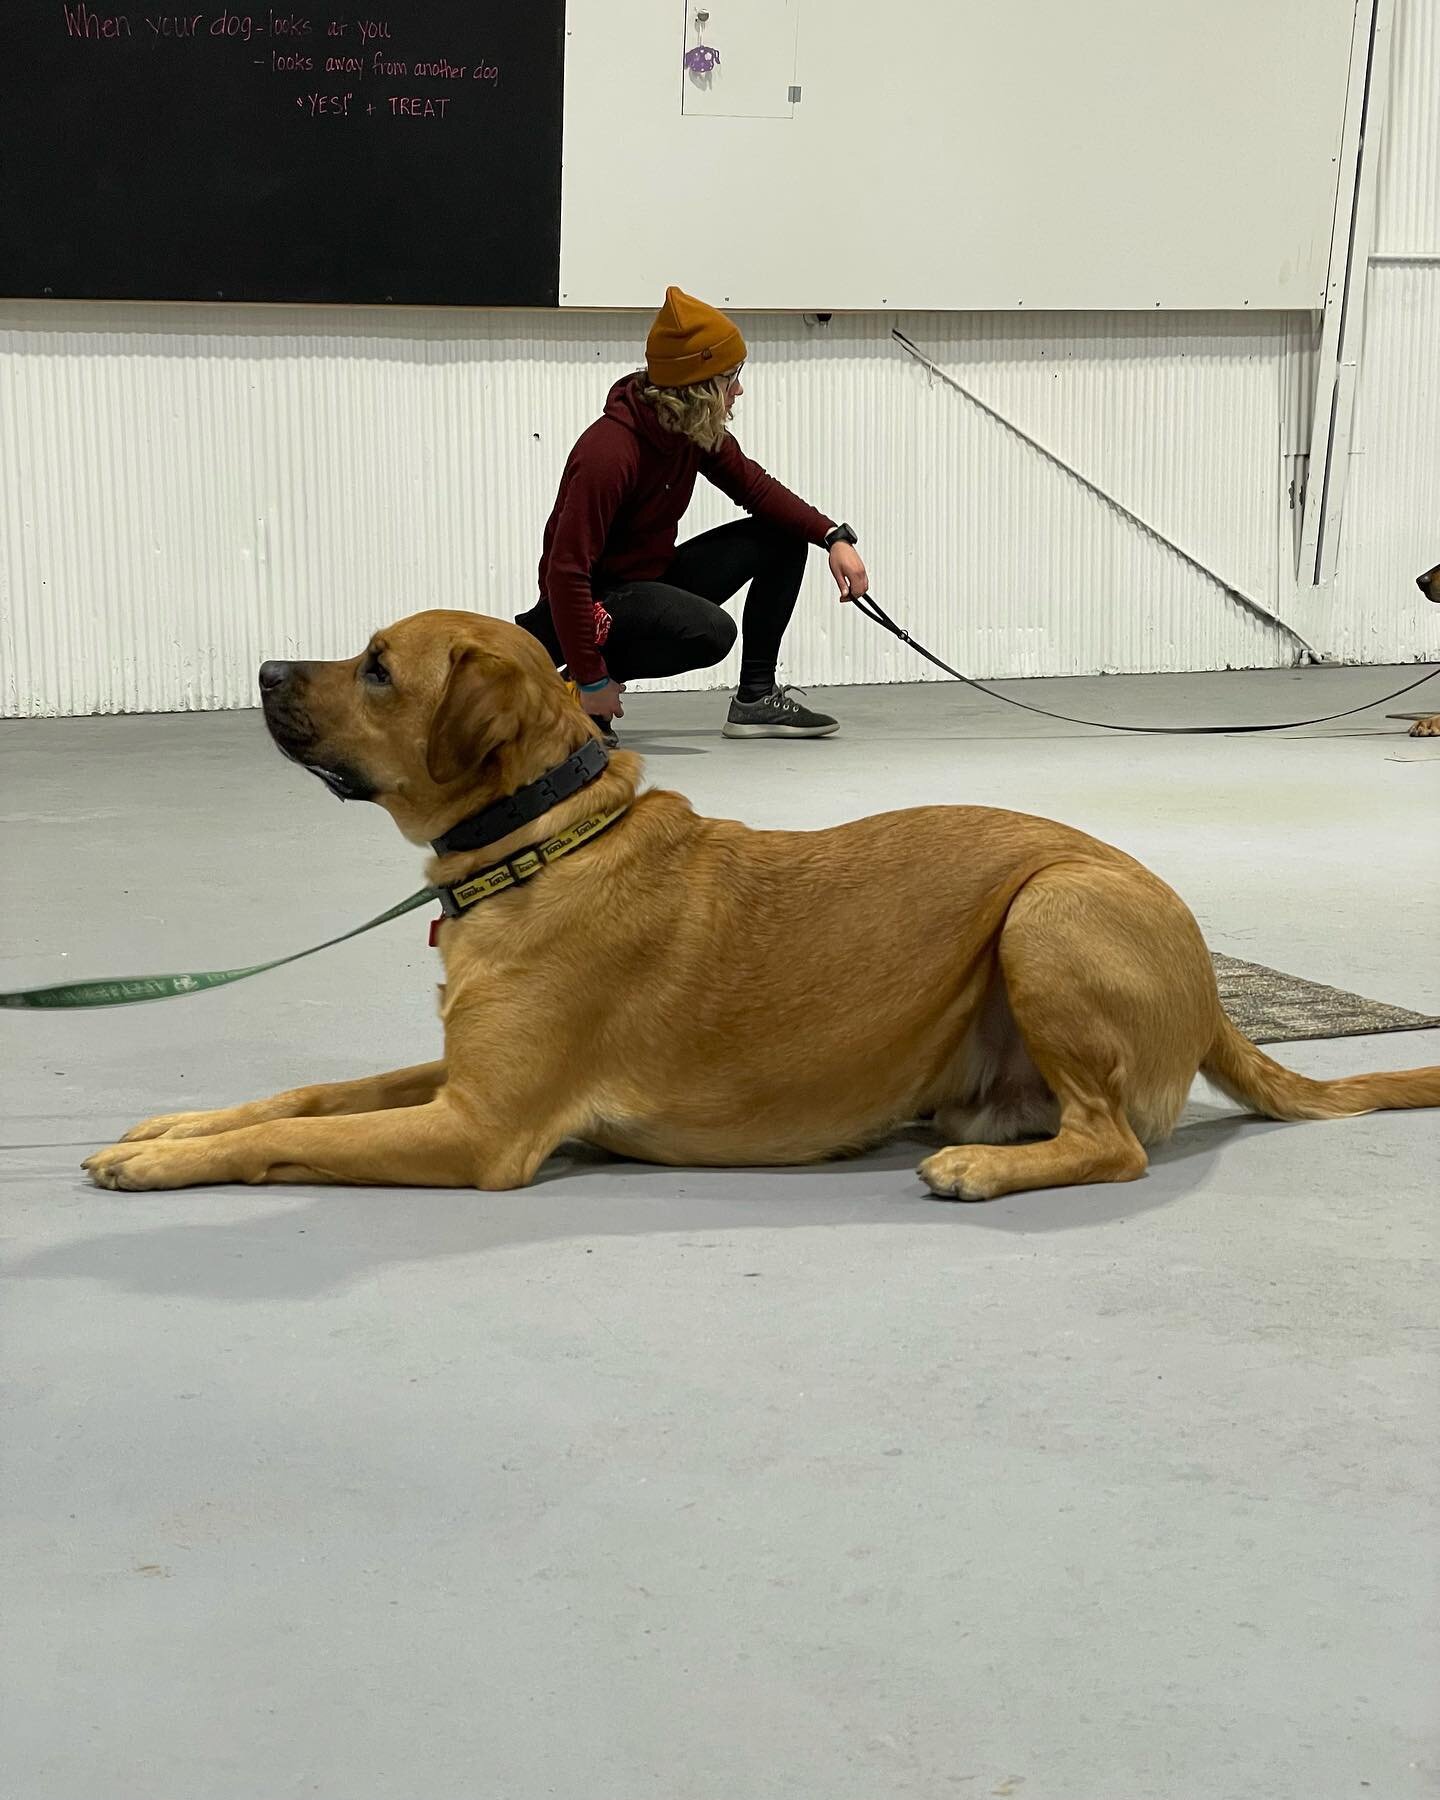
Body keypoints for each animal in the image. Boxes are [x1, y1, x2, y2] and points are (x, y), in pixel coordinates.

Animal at [84, 612, 1432, 1202]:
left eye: (375, 668)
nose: (264, 668)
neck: (538, 842)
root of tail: (1211, 988)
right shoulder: (456, 1073)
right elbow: (308, 1096)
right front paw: (172, 1125)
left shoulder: (479, 1129)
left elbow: (293, 1139)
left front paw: (164, 1164)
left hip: (1051, 910)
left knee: (1116, 1145)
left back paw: (981, 1169)